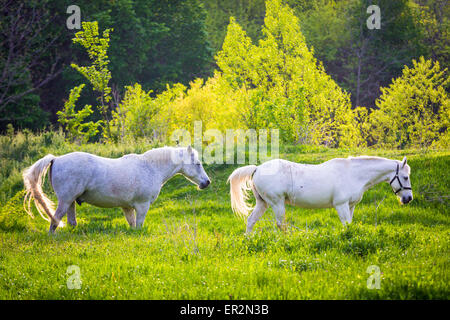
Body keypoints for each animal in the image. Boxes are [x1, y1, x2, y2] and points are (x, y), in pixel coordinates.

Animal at [25, 146, 212, 232]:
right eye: (198, 164)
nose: (206, 182)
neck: (150, 168)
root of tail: (56, 159)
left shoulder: (127, 207)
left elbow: (132, 224)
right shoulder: (142, 206)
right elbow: (139, 225)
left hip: (70, 202)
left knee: (70, 221)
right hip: (64, 201)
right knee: (54, 220)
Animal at [230, 156, 414, 232]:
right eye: (405, 177)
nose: (408, 199)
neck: (353, 173)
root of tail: (257, 168)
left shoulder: (351, 206)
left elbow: (349, 224)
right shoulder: (341, 206)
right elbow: (346, 224)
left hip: (263, 203)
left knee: (251, 221)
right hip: (277, 204)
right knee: (281, 225)